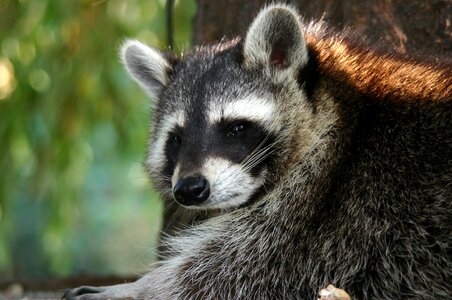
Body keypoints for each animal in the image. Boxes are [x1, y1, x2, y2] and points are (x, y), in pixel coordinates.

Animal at [64, 2, 452, 300]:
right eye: (176, 139)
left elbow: (230, 274)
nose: (189, 189)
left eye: (235, 128)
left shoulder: (331, 212)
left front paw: (137, 288)